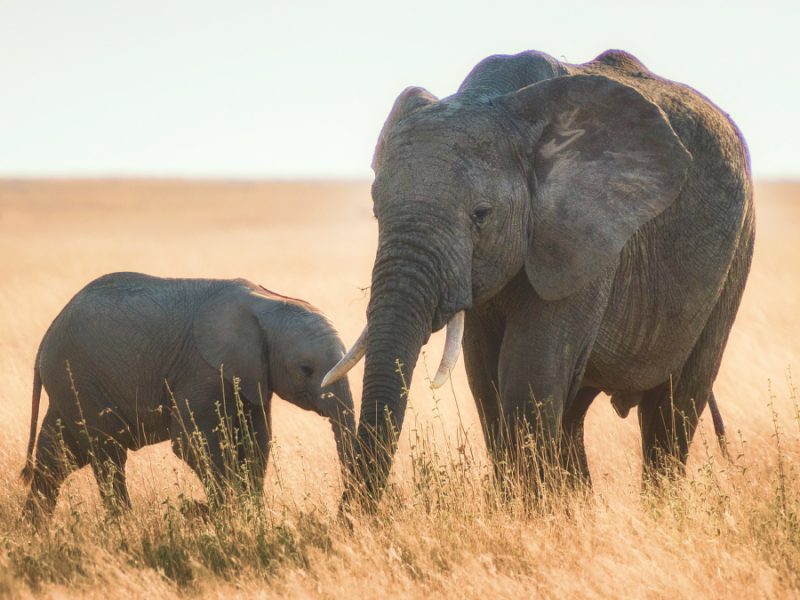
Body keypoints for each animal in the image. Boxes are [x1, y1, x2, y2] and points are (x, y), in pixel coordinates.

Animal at [21, 272, 355, 517]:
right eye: (306, 369)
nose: (343, 512)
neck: (268, 302)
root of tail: (47, 334)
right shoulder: (200, 369)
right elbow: (192, 443)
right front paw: (224, 516)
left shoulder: (252, 376)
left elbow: (256, 442)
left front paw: (250, 515)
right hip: (79, 378)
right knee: (107, 455)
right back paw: (124, 525)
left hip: (69, 386)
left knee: (57, 458)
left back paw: (35, 531)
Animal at [324, 49, 753, 503]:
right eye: (376, 211)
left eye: (481, 215)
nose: (355, 515)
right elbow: (486, 380)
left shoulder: (586, 236)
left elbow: (528, 374)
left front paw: (530, 511)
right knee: (575, 412)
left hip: (737, 250)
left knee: (674, 405)